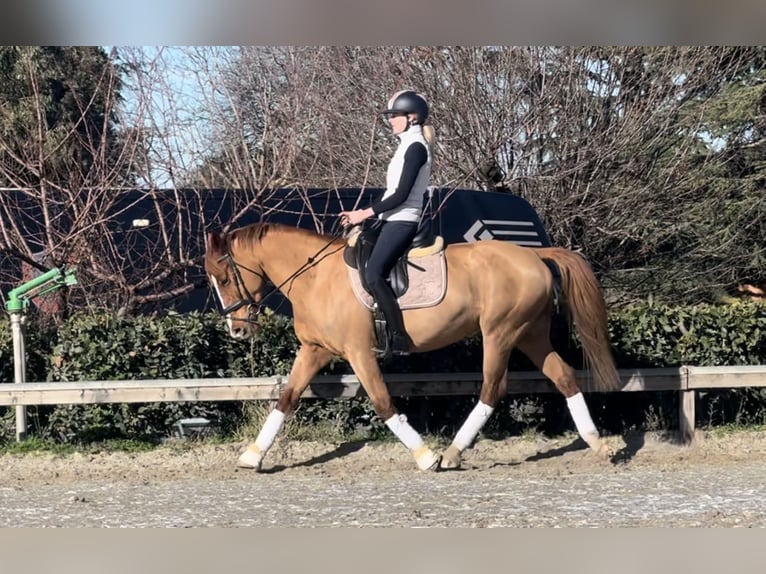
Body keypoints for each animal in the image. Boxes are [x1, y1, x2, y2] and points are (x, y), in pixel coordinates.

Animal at [204, 222, 619, 471]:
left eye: (223, 277)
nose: (237, 331)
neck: (316, 277)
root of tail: (534, 254)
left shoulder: (358, 353)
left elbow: (382, 403)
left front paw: (424, 456)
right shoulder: (314, 350)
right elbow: (287, 397)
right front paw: (252, 456)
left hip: (500, 332)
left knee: (492, 388)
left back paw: (451, 453)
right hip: (530, 333)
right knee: (563, 377)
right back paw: (598, 445)